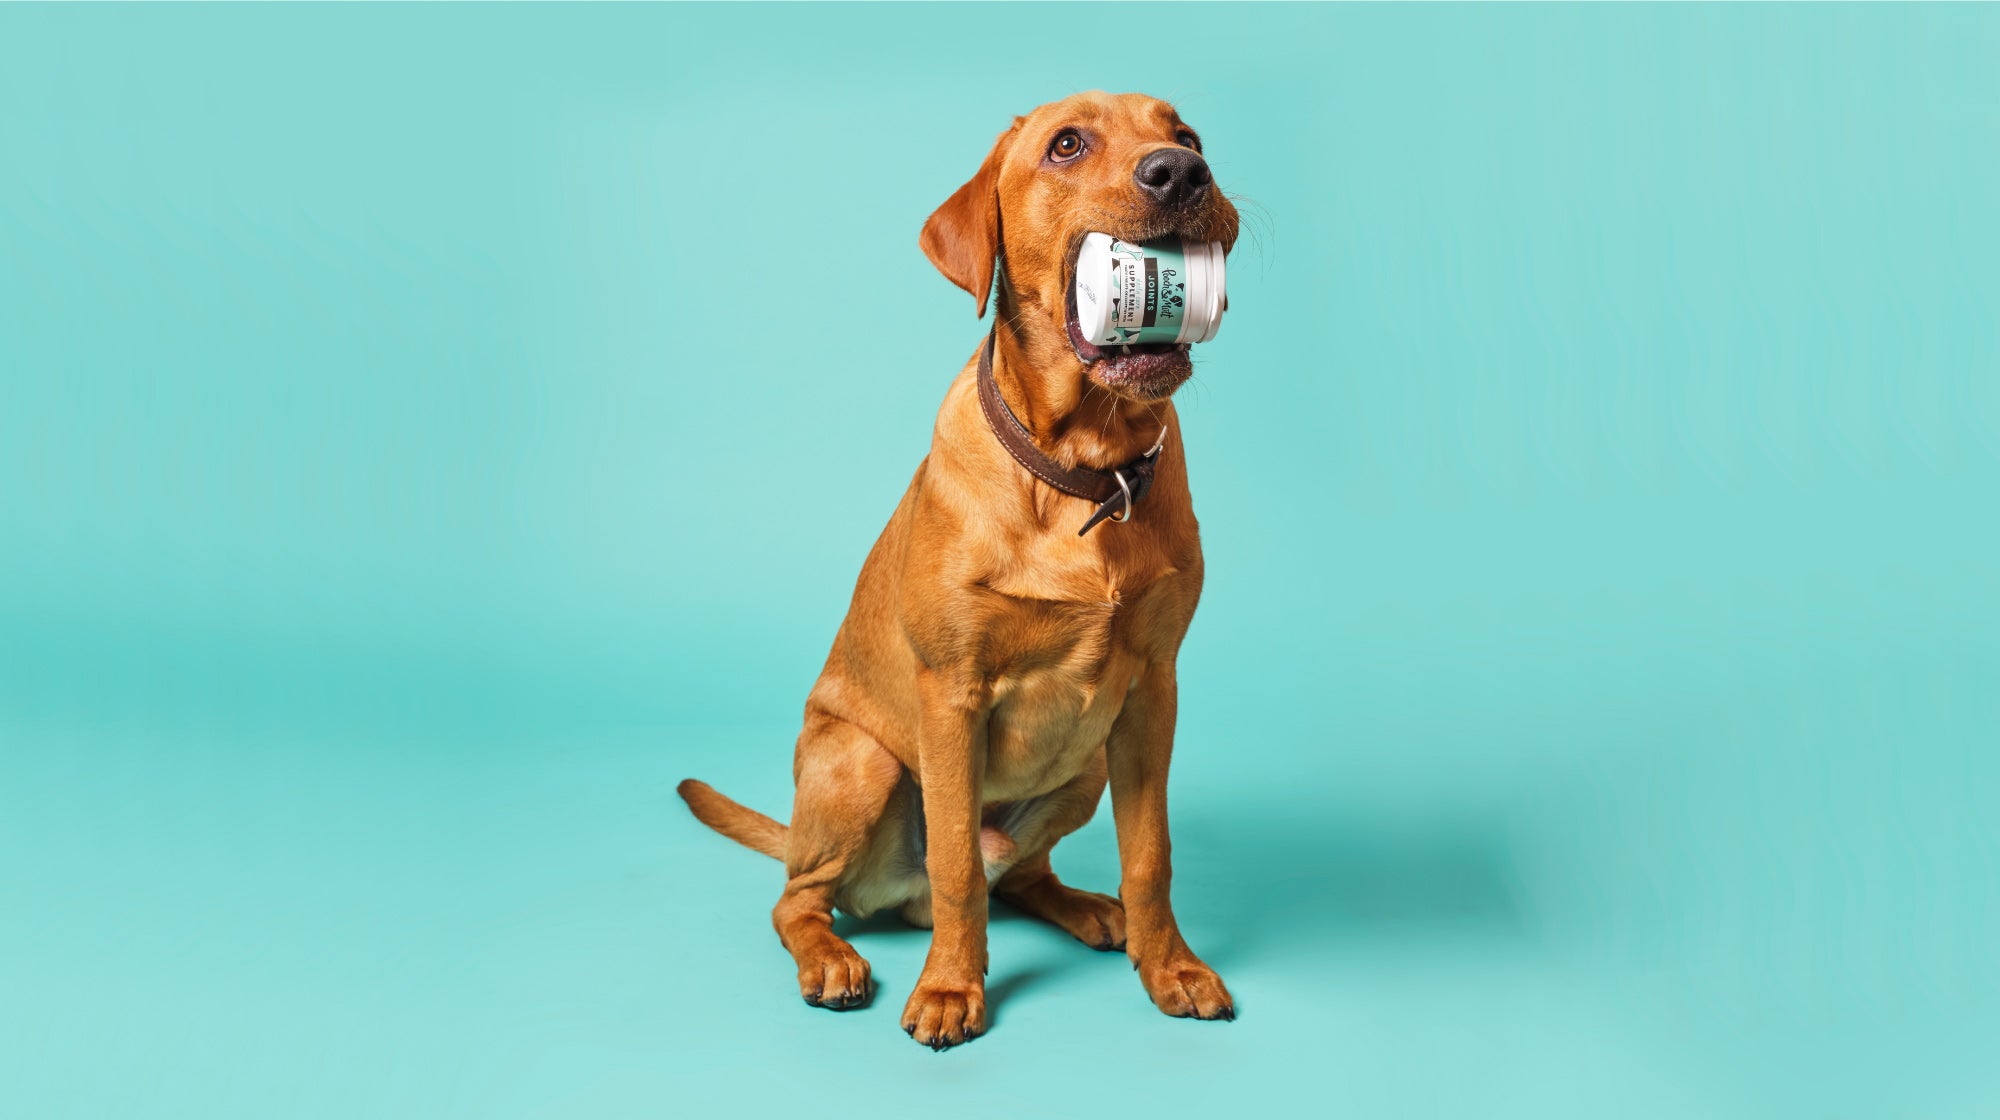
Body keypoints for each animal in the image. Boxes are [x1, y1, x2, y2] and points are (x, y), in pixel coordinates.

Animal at [684, 89, 1232, 1048]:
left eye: (1187, 134)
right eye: (1066, 145)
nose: (1181, 172)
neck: (1086, 471)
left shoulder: (1153, 693)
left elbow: (1150, 855)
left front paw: (1170, 966)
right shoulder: (952, 695)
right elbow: (955, 870)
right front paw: (950, 987)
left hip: (1088, 763)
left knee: (1020, 875)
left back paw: (1091, 910)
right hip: (861, 763)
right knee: (804, 897)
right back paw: (832, 956)